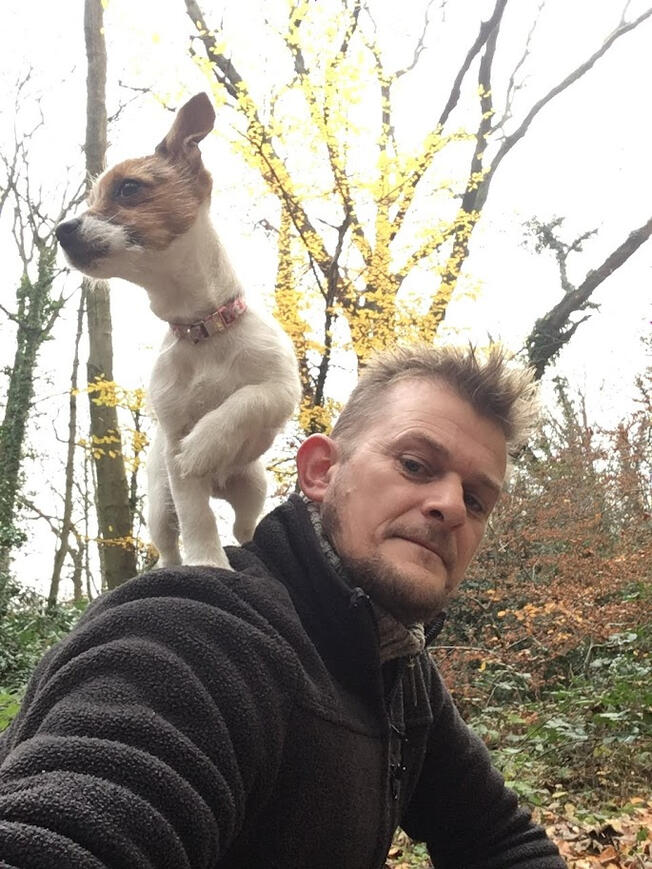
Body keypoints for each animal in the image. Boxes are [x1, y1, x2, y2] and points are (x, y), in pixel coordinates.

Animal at [56, 92, 301, 569]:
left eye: (128, 188)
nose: (61, 230)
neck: (201, 329)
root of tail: (222, 487)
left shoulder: (281, 389)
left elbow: (245, 400)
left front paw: (205, 443)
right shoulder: (173, 452)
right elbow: (196, 517)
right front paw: (207, 563)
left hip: (252, 486)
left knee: (245, 526)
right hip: (158, 506)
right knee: (170, 546)